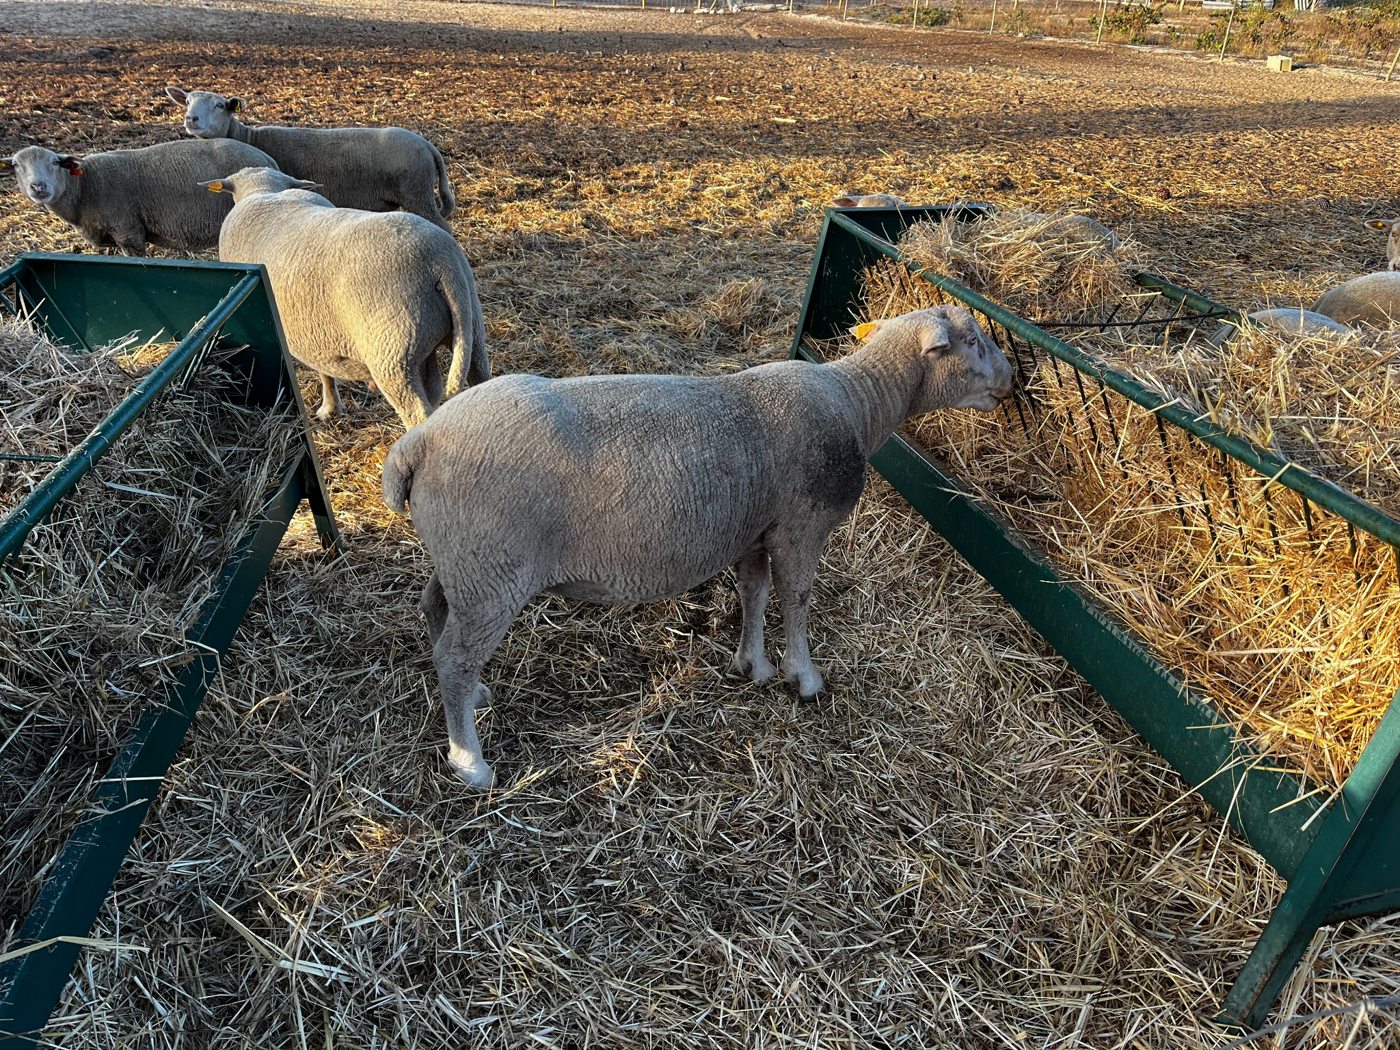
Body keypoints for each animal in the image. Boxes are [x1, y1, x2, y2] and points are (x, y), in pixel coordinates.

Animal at [0, 139, 280, 255]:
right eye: (15, 165)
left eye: (55, 162)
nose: (38, 187)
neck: (84, 187)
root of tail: (267, 158)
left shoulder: (128, 232)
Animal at [167, 86, 455, 231]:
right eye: (187, 101)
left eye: (219, 105)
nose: (191, 119)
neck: (248, 136)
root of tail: (428, 145)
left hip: (417, 193)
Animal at [203, 167, 489, 427]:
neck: (264, 191)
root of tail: (441, 262)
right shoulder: (316, 333)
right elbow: (325, 369)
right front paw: (331, 407)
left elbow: (322, 370)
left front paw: (327, 409)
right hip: (469, 330)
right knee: (480, 380)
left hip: (393, 354)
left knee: (417, 413)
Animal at [381, 306, 1014, 789]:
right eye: (974, 341)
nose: (1014, 380)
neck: (858, 401)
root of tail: (418, 442)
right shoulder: (800, 527)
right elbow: (797, 599)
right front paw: (803, 678)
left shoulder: (755, 531)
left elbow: (755, 594)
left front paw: (753, 664)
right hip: (491, 567)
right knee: (454, 658)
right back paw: (470, 761)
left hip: (464, 561)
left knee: (436, 610)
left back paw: (476, 698)